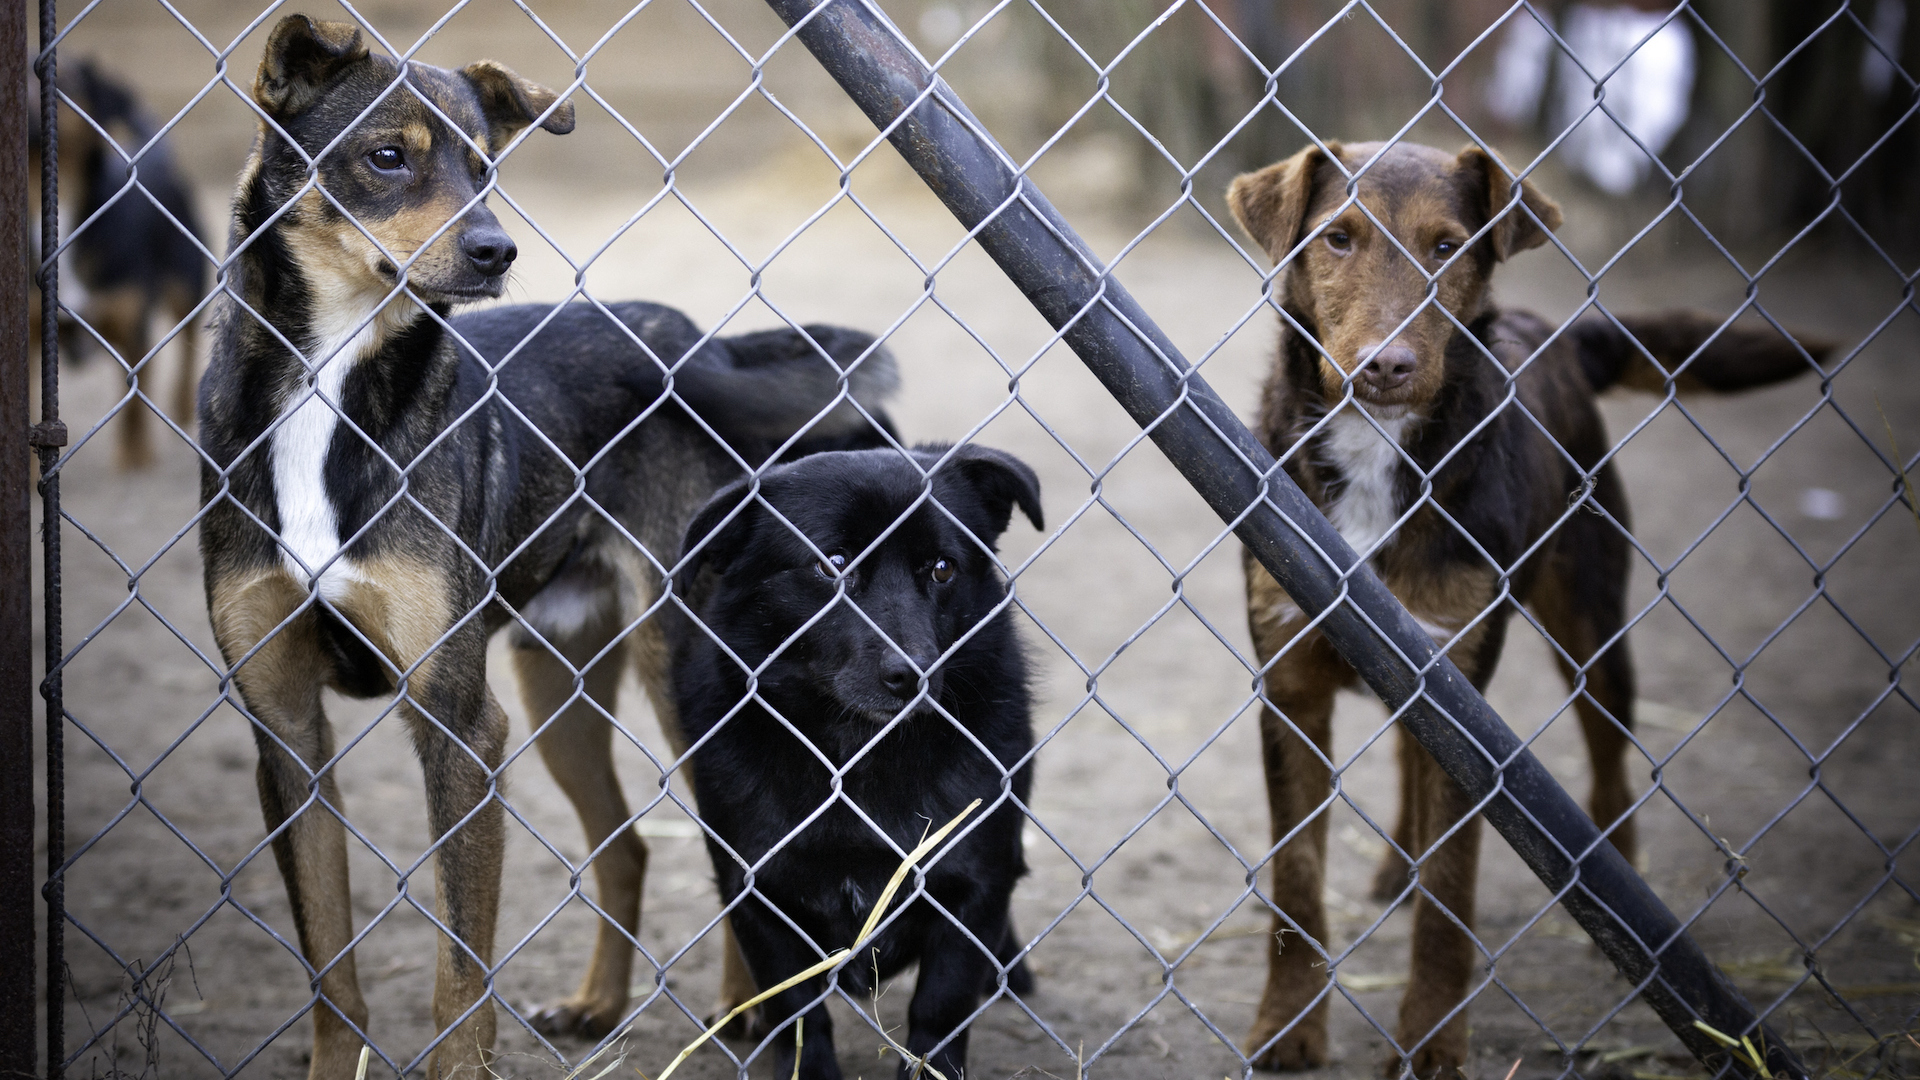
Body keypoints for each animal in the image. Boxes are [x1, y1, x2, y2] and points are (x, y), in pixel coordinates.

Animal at [200, 14, 898, 1068]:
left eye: (486, 167)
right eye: (387, 156)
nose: (497, 250)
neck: (332, 384)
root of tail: (692, 342)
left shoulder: (461, 724)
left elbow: (459, 980)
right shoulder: (286, 733)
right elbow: (331, 973)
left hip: (679, 674)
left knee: (742, 853)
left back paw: (748, 1015)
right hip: (556, 681)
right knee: (627, 845)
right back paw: (600, 1005)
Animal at [675, 441, 1052, 1076]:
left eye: (943, 568)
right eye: (832, 564)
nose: (913, 674)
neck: (857, 757)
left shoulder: (974, 889)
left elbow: (939, 1013)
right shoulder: (758, 897)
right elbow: (800, 1015)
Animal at [1221, 143, 1820, 1076]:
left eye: (1448, 247)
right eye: (1337, 239)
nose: (1386, 366)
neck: (1380, 453)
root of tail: (1557, 333)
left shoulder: (1463, 708)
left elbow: (1451, 899)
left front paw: (1431, 1042)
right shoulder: (1292, 687)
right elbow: (1296, 883)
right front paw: (1288, 1025)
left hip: (1592, 628)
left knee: (1610, 770)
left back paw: (1619, 908)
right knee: (1412, 762)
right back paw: (1397, 862)